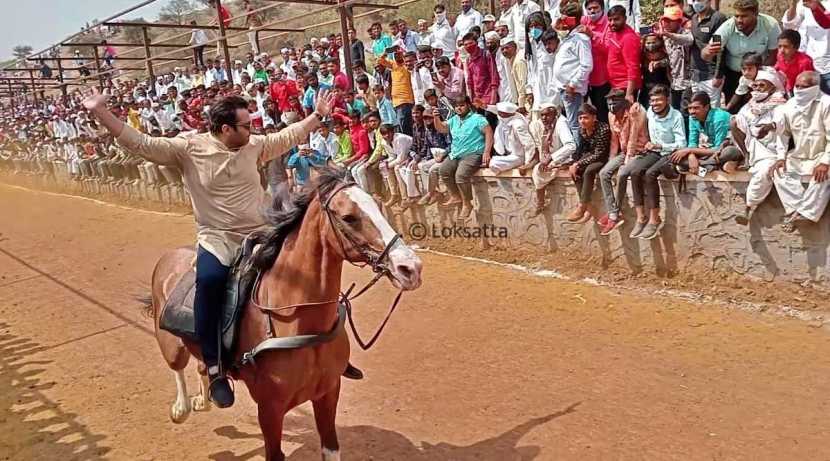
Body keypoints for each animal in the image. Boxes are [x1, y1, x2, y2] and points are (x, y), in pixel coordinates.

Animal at [144, 170, 426, 460]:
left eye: (378, 206)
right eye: (349, 217)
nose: (410, 267)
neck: (299, 325)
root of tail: (170, 257)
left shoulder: (328, 392)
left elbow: (331, 447)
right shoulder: (270, 409)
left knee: (202, 366)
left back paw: (204, 398)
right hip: (170, 344)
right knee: (178, 367)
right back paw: (182, 407)